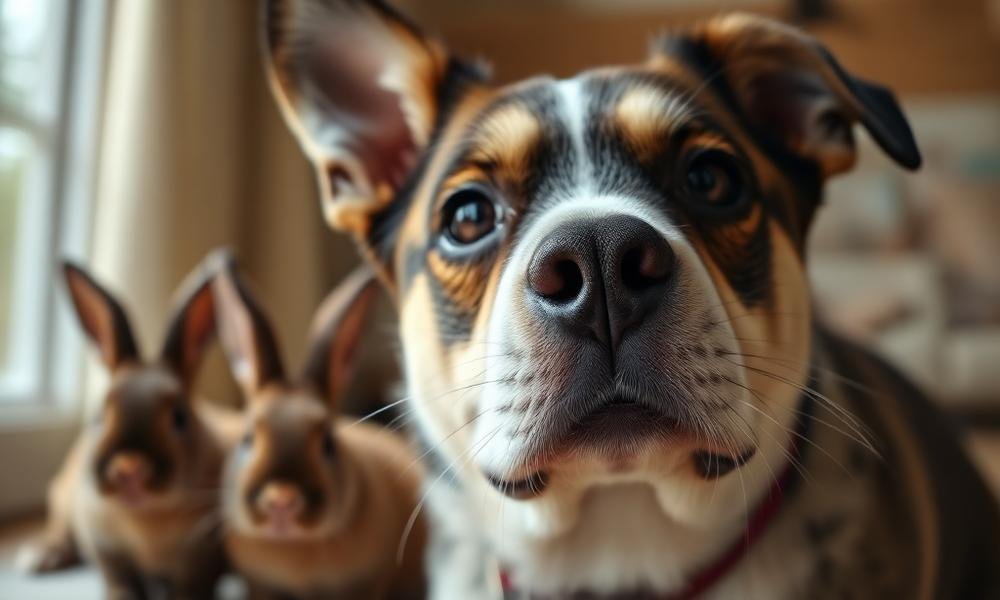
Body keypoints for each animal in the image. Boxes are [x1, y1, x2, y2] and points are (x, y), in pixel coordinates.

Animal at [17, 252, 241, 599]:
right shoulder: (107, 546)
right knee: (59, 529)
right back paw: (39, 556)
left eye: (180, 417)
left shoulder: (203, 557)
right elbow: (119, 580)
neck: (145, 517)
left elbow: (193, 586)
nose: (129, 468)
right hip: (62, 496)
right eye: (99, 415)